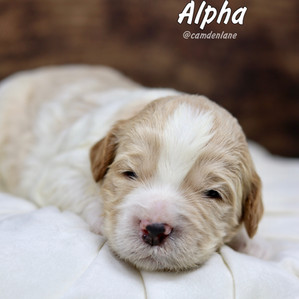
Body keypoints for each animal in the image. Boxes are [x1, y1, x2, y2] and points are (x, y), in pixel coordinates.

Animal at [0, 67, 264, 274]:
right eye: (130, 174)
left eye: (212, 194)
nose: (155, 229)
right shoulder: (63, 168)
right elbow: (77, 188)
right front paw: (101, 219)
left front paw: (252, 245)